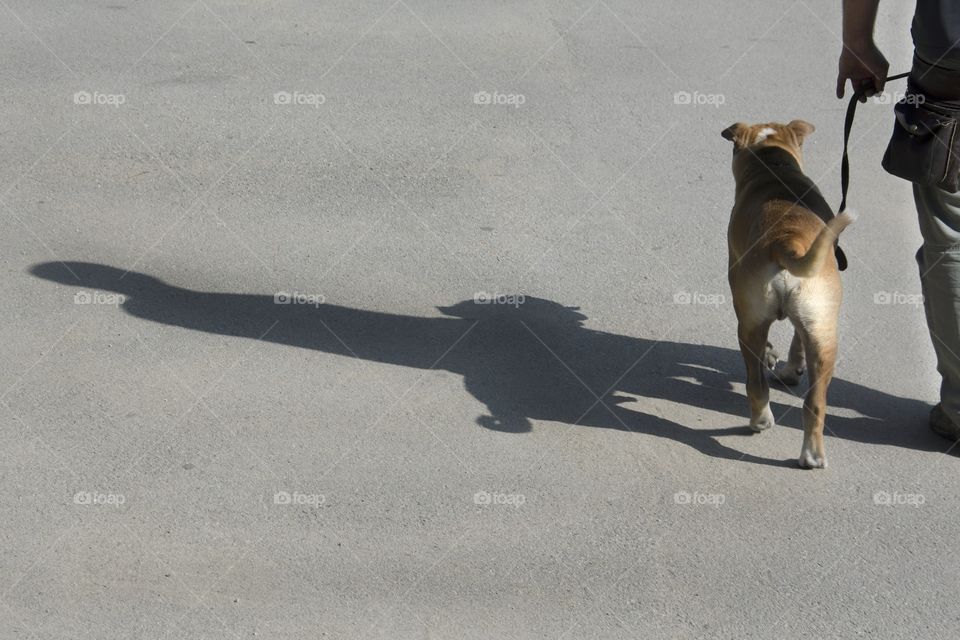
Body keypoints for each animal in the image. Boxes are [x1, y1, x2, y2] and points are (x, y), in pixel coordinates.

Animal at [724, 121, 852, 470]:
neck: (774, 165)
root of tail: (786, 239)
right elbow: (796, 339)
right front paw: (791, 368)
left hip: (750, 324)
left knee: (756, 382)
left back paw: (760, 420)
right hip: (822, 331)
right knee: (815, 402)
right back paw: (812, 456)